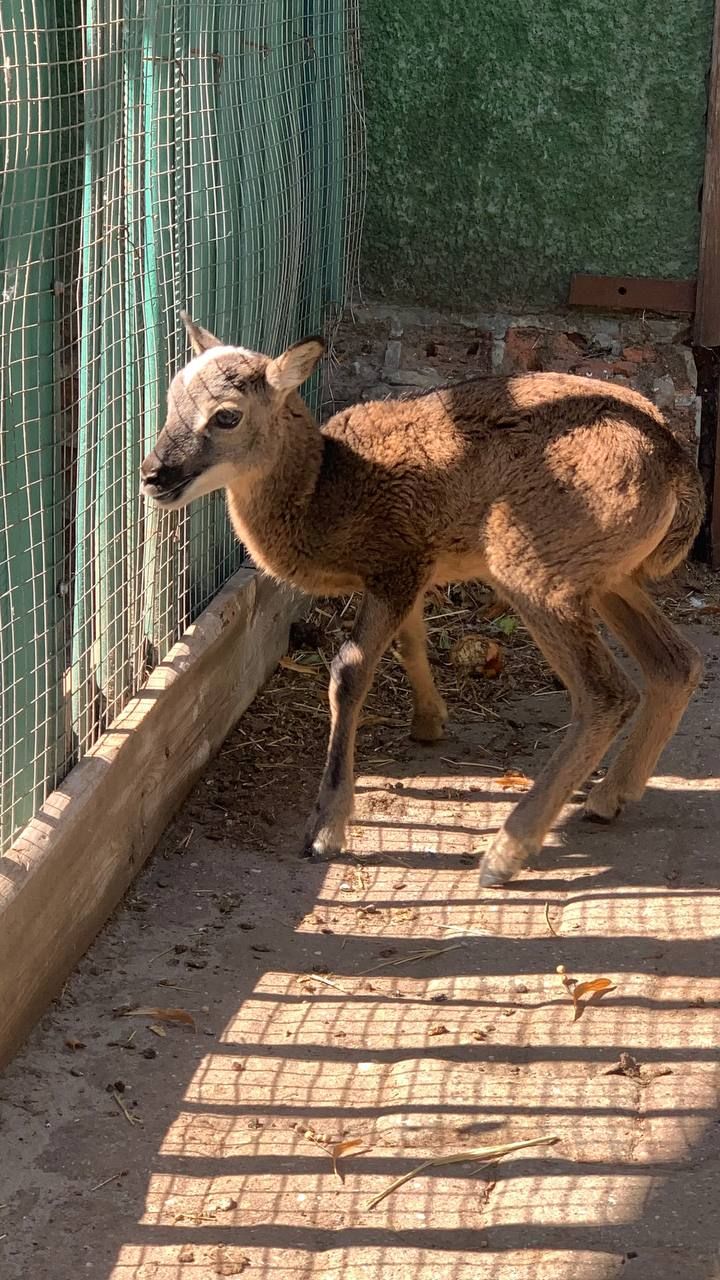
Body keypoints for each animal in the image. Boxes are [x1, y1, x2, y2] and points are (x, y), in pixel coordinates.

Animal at [140, 314, 702, 885]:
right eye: (170, 399)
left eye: (227, 415)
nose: (152, 475)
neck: (327, 491)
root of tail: (677, 469)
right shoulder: (413, 571)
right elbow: (411, 643)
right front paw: (429, 724)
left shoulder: (396, 564)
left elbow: (349, 672)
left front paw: (325, 830)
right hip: (606, 574)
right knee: (676, 662)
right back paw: (609, 798)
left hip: (537, 571)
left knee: (607, 693)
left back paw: (505, 854)